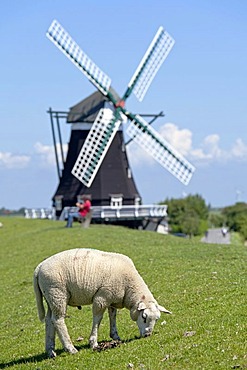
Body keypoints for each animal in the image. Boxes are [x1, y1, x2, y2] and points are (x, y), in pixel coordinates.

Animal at [33, 249, 172, 358]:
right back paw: (70, 348)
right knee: (58, 320)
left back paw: (50, 351)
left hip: (51, 297)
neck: (129, 286)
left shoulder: (112, 299)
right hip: (58, 293)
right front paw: (93, 342)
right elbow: (98, 319)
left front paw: (115, 336)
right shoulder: (102, 297)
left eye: (157, 319)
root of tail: (39, 267)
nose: (148, 335)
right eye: (144, 317)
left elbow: (113, 316)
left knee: (49, 320)